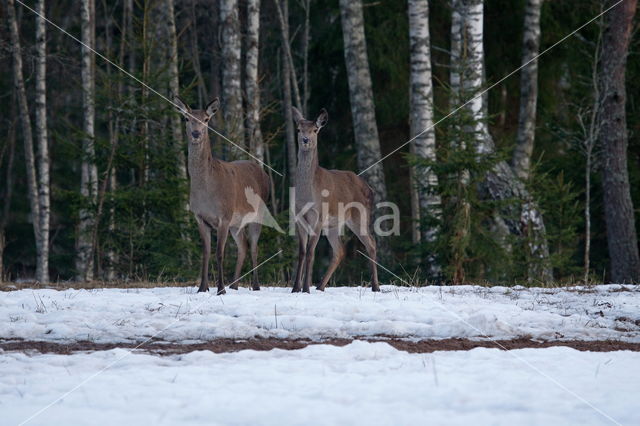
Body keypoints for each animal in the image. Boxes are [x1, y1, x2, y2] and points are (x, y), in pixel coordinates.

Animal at [176, 98, 272, 294]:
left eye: (206, 119)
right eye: (187, 118)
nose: (196, 133)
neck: (206, 191)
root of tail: (265, 173)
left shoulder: (224, 216)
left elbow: (219, 253)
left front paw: (220, 288)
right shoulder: (200, 218)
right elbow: (206, 253)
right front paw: (202, 288)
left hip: (258, 213)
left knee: (254, 247)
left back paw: (255, 286)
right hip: (237, 223)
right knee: (243, 246)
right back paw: (234, 285)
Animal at [292, 106, 378, 292]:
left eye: (315, 130)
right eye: (299, 129)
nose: (305, 140)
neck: (306, 195)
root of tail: (370, 189)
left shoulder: (318, 217)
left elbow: (310, 252)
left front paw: (305, 288)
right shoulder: (298, 218)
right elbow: (301, 253)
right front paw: (295, 288)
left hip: (359, 216)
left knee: (371, 243)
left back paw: (376, 286)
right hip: (333, 224)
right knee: (340, 250)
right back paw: (320, 286)